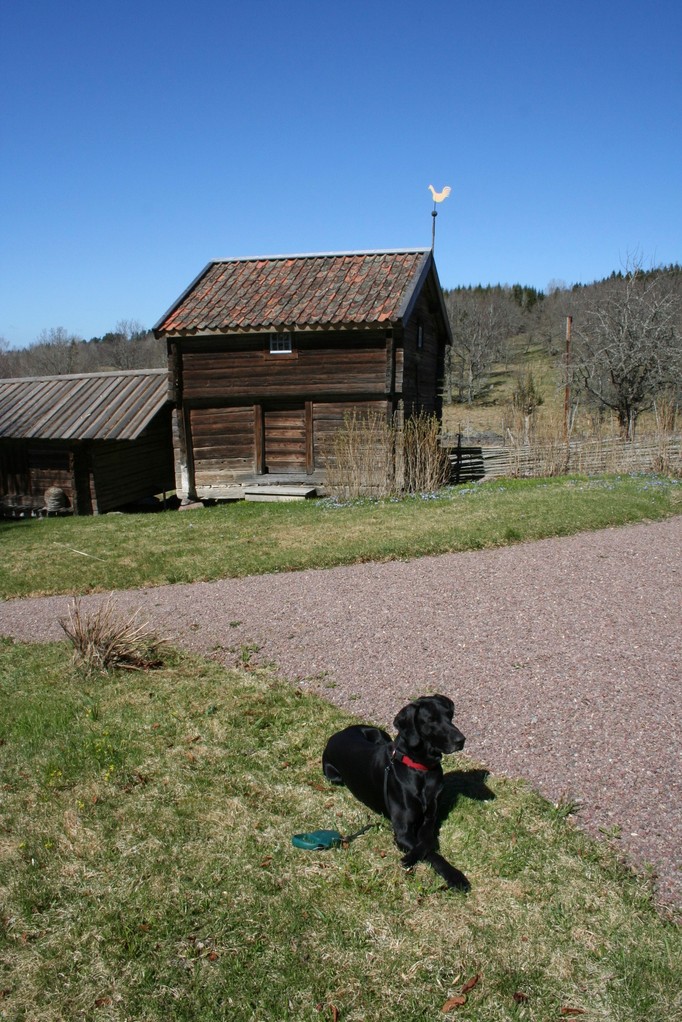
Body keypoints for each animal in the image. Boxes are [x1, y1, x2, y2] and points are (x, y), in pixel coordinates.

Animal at [321, 690, 470, 891]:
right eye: (430, 720)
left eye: (450, 715)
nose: (461, 740)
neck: (421, 769)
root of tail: (338, 733)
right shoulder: (402, 832)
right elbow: (431, 851)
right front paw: (454, 875)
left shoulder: (430, 818)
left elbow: (428, 841)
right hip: (333, 775)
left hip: (380, 735)